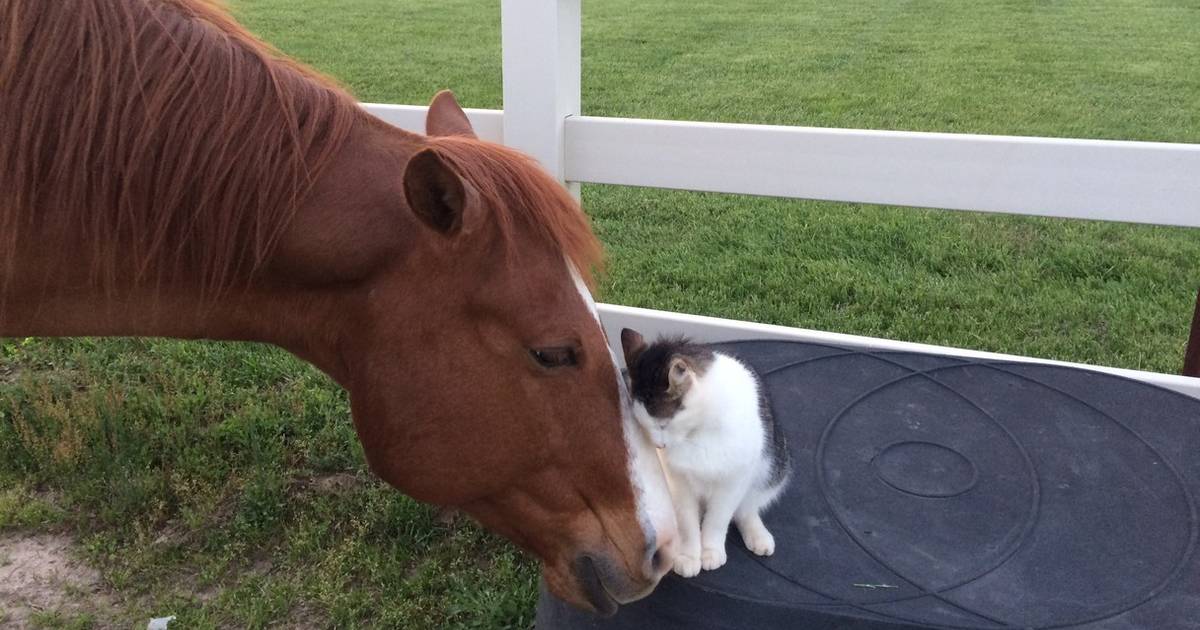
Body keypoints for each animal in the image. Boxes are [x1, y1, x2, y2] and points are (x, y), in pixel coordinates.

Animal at [624, 326, 792, 578]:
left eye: (663, 425)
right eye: (644, 425)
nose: (659, 446)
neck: (697, 433)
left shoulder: (733, 480)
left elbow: (718, 519)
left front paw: (711, 551)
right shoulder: (679, 483)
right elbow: (687, 522)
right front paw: (689, 555)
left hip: (771, 472)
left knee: (745, 509)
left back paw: (758, 535)